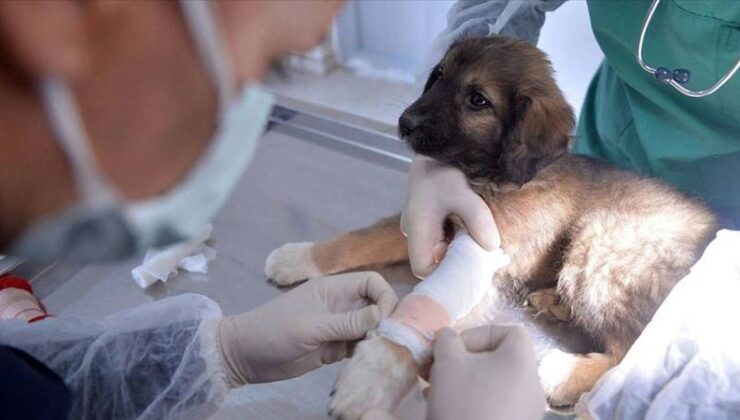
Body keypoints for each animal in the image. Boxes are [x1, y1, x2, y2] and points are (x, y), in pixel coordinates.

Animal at [264, 35, 716, 416]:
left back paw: (565, 375)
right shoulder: (434, 219)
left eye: (478, 100)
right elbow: (362, 238)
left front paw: (371, 374)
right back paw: (553, 301)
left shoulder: (483, 246)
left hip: (603, 240)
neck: (496, 173)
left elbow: (421, 308)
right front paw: (299, 257)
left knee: (632, 351)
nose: (405, 123)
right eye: (438, 76)